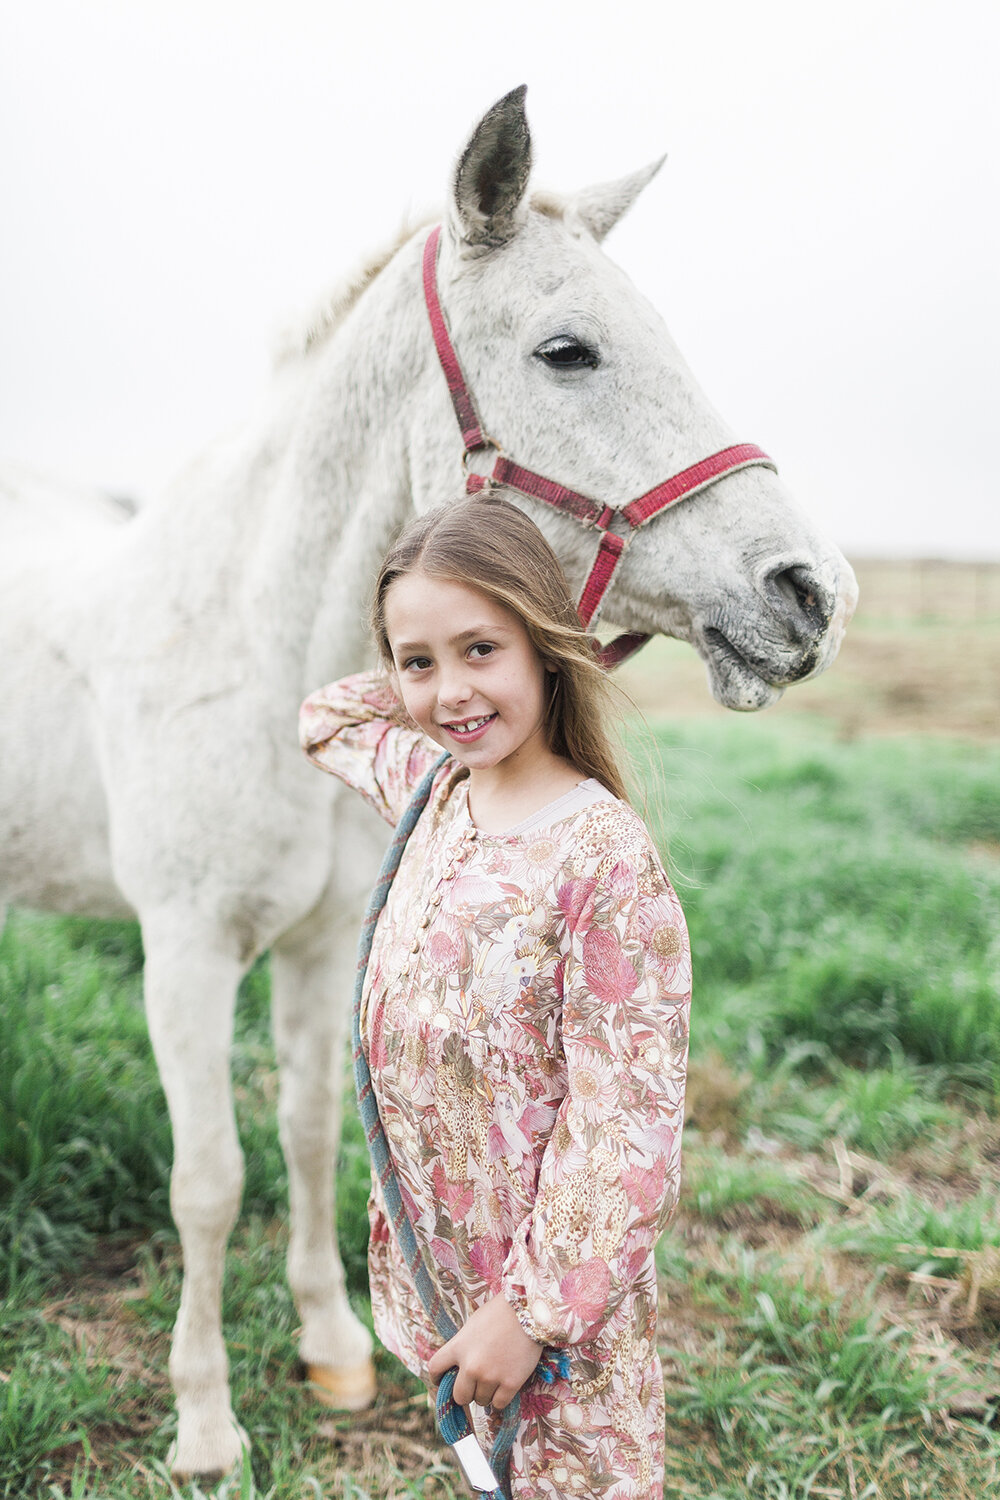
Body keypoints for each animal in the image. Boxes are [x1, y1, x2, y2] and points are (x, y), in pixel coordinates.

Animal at [1, 85, 863, 1476]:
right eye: (567, 351)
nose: (810, 596)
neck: (248, 646)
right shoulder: (184, 951)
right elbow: (209, 1180)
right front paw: (206, 1421)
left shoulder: (313, 949)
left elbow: (304, 1134)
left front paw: (332, 1349)